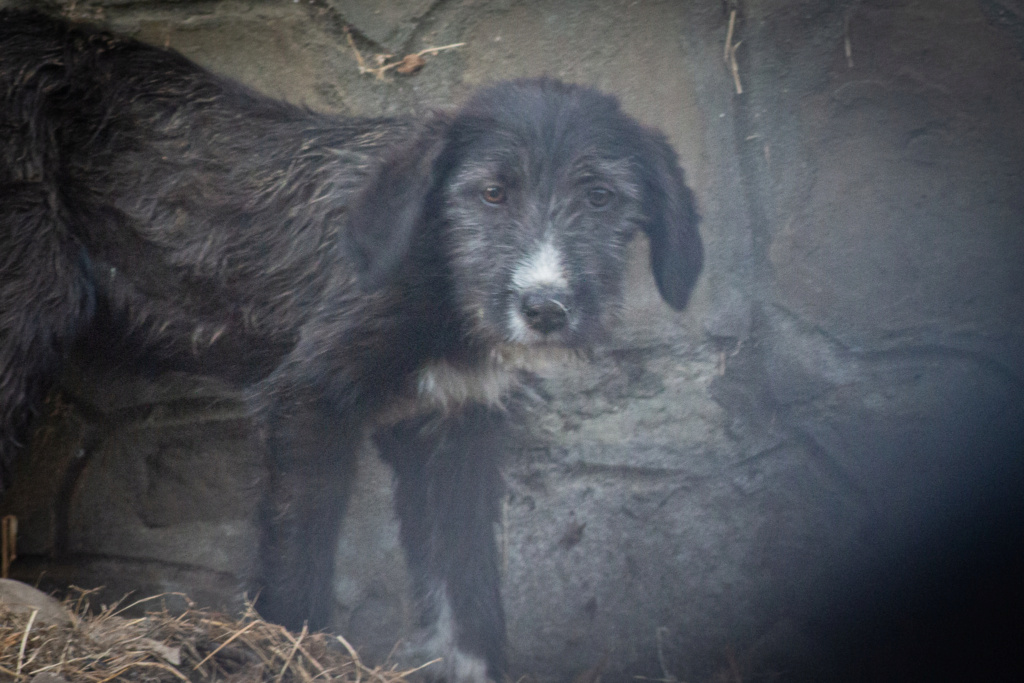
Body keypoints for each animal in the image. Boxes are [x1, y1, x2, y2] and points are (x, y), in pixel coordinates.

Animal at [0, 10, 700, 683]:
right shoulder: (308, 399)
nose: (546, 309)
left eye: (601, 197)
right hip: (27, 305)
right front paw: (294, 652)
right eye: (492, 193)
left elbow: (465, 586)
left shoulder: (453, 428)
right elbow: (301, 552)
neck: (437, 278)